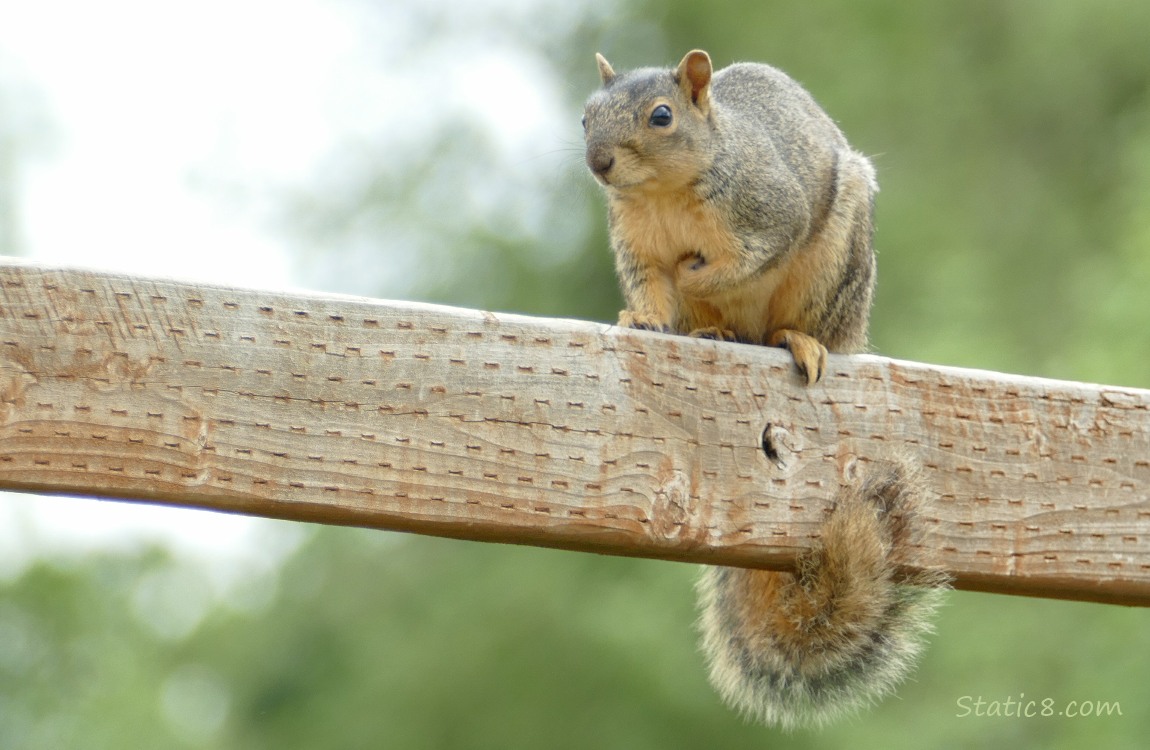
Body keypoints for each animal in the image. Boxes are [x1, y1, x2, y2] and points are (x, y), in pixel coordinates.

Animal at [583, 49, 947, 729]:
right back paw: (714, 330)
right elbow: (651, 289)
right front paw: (639, 320)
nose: (598, 163)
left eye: (662, 116)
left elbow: (741, 260)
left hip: (832, 271)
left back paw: (795, 341)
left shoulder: (768, 211)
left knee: (793, 321)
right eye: (586, 115)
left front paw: (696, 268)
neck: (665, 192)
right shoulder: (637, 247)